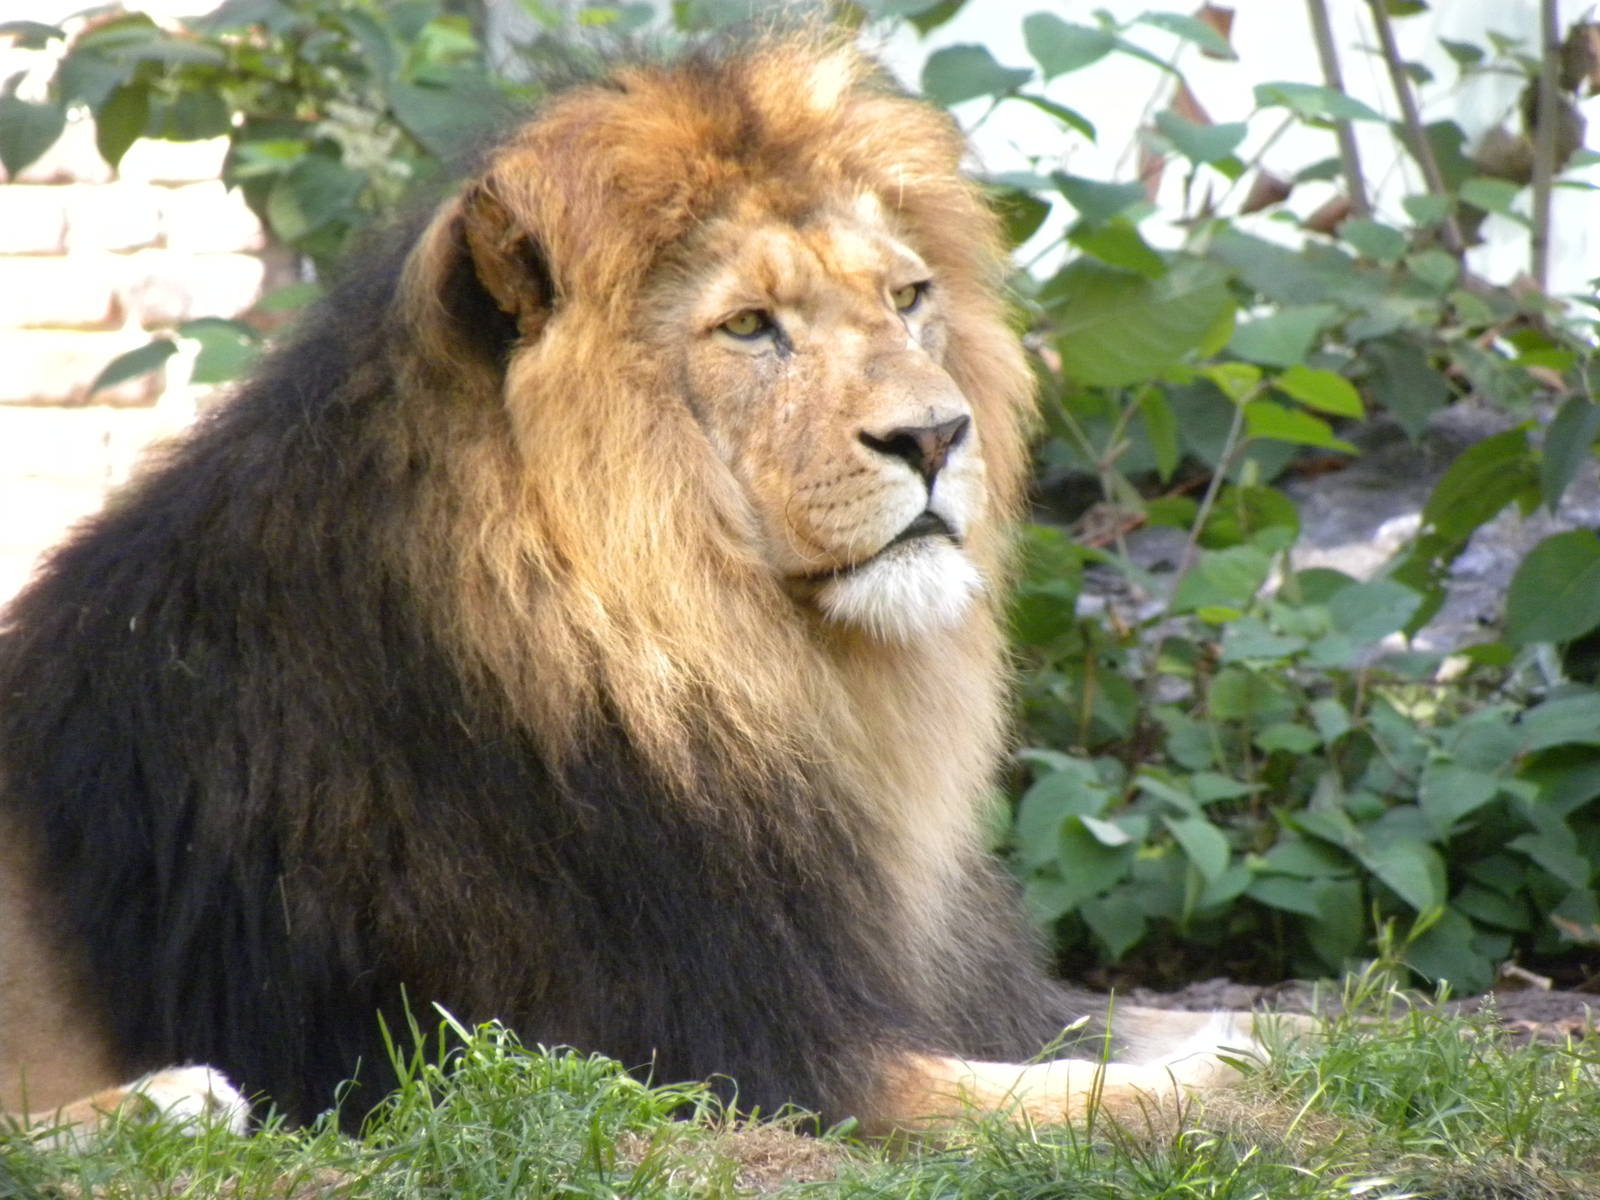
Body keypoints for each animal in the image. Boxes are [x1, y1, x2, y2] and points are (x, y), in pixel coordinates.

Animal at [0, 33, 1278, 1145]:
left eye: (909, 298)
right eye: (751, 327)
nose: (935, 436)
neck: (728, 659)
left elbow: (1165, 1024)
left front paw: (1269, 1033)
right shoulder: (667, 1053)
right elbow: (1094, 1093)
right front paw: (1230, 1079)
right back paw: (170, 1099)